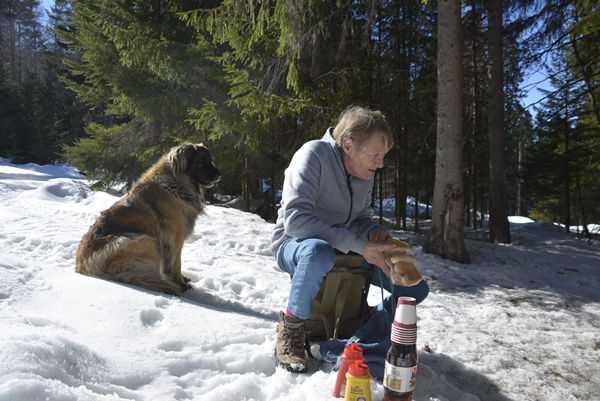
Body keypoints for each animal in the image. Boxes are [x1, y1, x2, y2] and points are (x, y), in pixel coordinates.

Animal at [76, 142, 221, 296]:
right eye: (201, 162)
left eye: (210, 160)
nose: (220, 175)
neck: (175, 183)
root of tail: (84, 269)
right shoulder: (175, 237)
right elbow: (176, 262)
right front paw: (180, 282)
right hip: (145, 241)